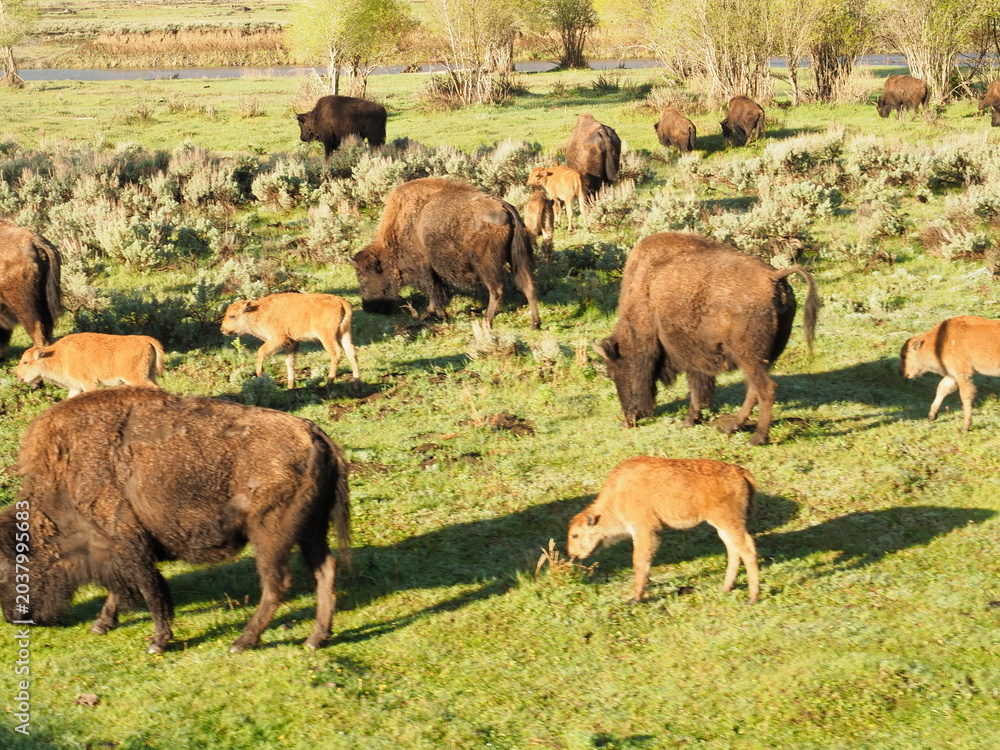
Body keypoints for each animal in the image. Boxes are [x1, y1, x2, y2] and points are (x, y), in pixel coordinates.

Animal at [0, 388, 351, 653]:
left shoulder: (127, 543)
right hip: (311, 530)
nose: (12, 617)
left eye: (7, 568)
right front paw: (101, 625)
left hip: (270, 534)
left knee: (278, 582)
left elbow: (150, 588)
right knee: (325, 571)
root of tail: (311, 431)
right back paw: (315, 639)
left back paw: (242, 642)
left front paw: (158, 642)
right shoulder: (120, 547)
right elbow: (123, 588)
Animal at [351, 177, 541, 329]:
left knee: (497, 290)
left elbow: (434, 293)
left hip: (487, 264)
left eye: (362, 276)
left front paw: (433, 315)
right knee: (528, 285)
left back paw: (486, 320)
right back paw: (535, 323)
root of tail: (504, 206)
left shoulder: (426, 269)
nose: (368, 308)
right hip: (517, 258)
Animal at [593, 232, 819, 445]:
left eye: (615, 371)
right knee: (753, 390)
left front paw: (689, 420)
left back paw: (757, 438)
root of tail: (774, 275)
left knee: (765, 389)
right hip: (760, 358)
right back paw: (732, 427)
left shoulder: (687, 355)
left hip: (748, 356)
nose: (627, 420)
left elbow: (696, 388)